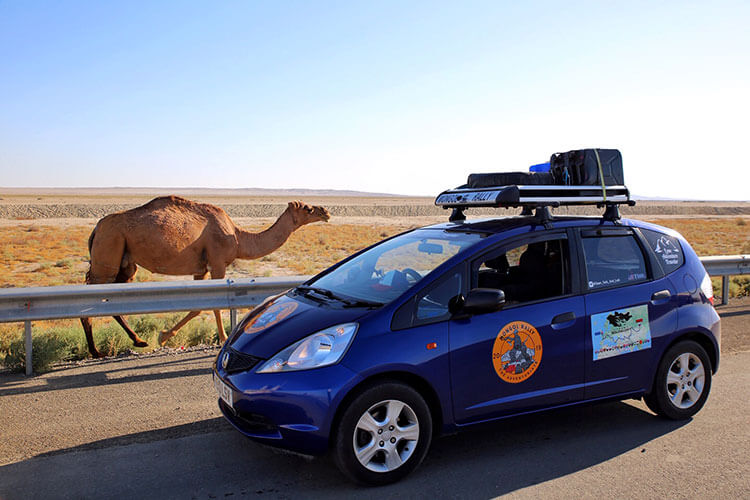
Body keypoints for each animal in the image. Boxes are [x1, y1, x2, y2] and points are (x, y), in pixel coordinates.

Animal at [81, 194, 330, 356]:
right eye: (307, 208)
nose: (326, 211)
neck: (238, 237)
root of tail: (96, 228)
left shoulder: (199, 270)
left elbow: (198, 307)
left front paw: (163, 336)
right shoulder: (218, 263)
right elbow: (216, 306)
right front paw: (222, 339)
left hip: (126, 262)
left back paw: (138, 341)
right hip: (109, 248)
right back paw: (96, 351)